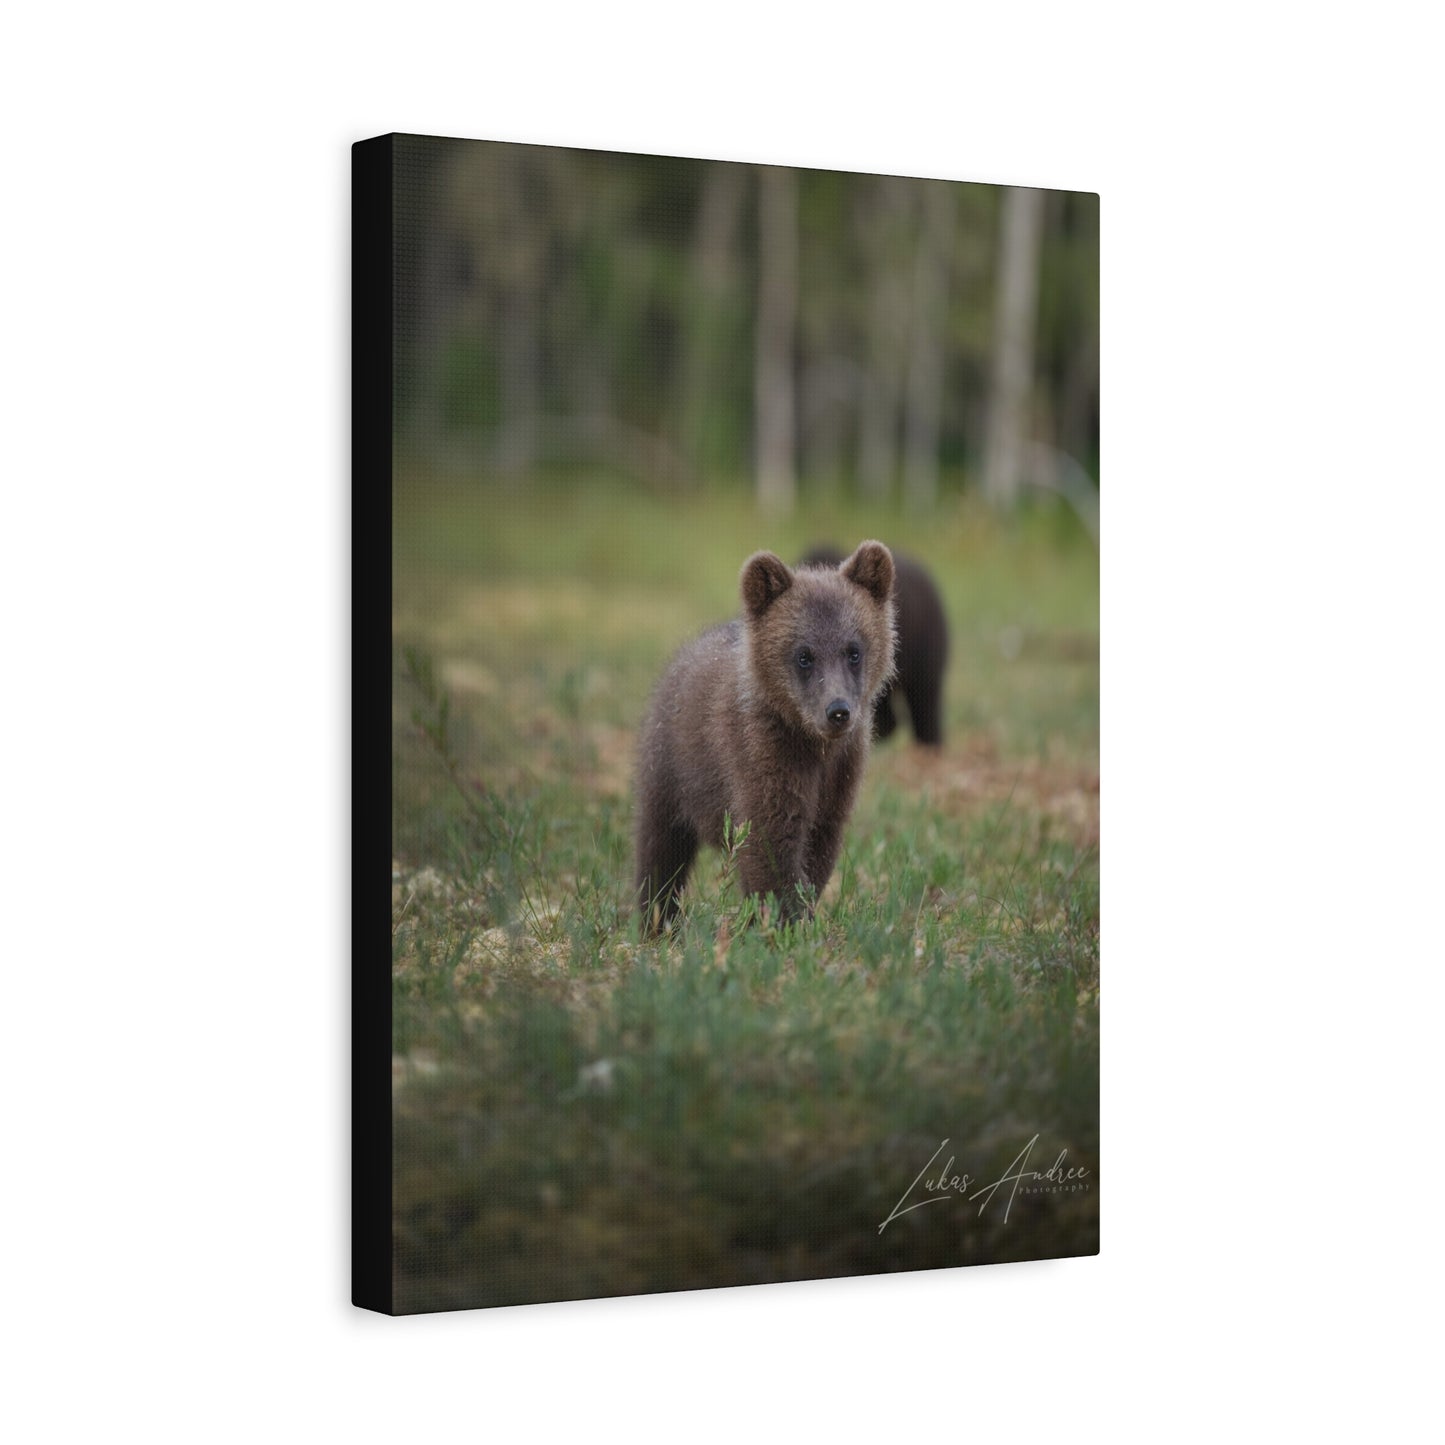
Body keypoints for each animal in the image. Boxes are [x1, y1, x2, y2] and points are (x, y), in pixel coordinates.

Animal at [634, 541, 897, 934]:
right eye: (804, 655)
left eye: (854, 650)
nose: (837, 711)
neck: (812, 743)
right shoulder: (762, 754)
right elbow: (771, 841)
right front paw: (785, 922)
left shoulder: (841, 772)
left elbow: (820, 842)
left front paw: (803, 909)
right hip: (670, 769)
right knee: (660, 846)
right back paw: (657, 920)